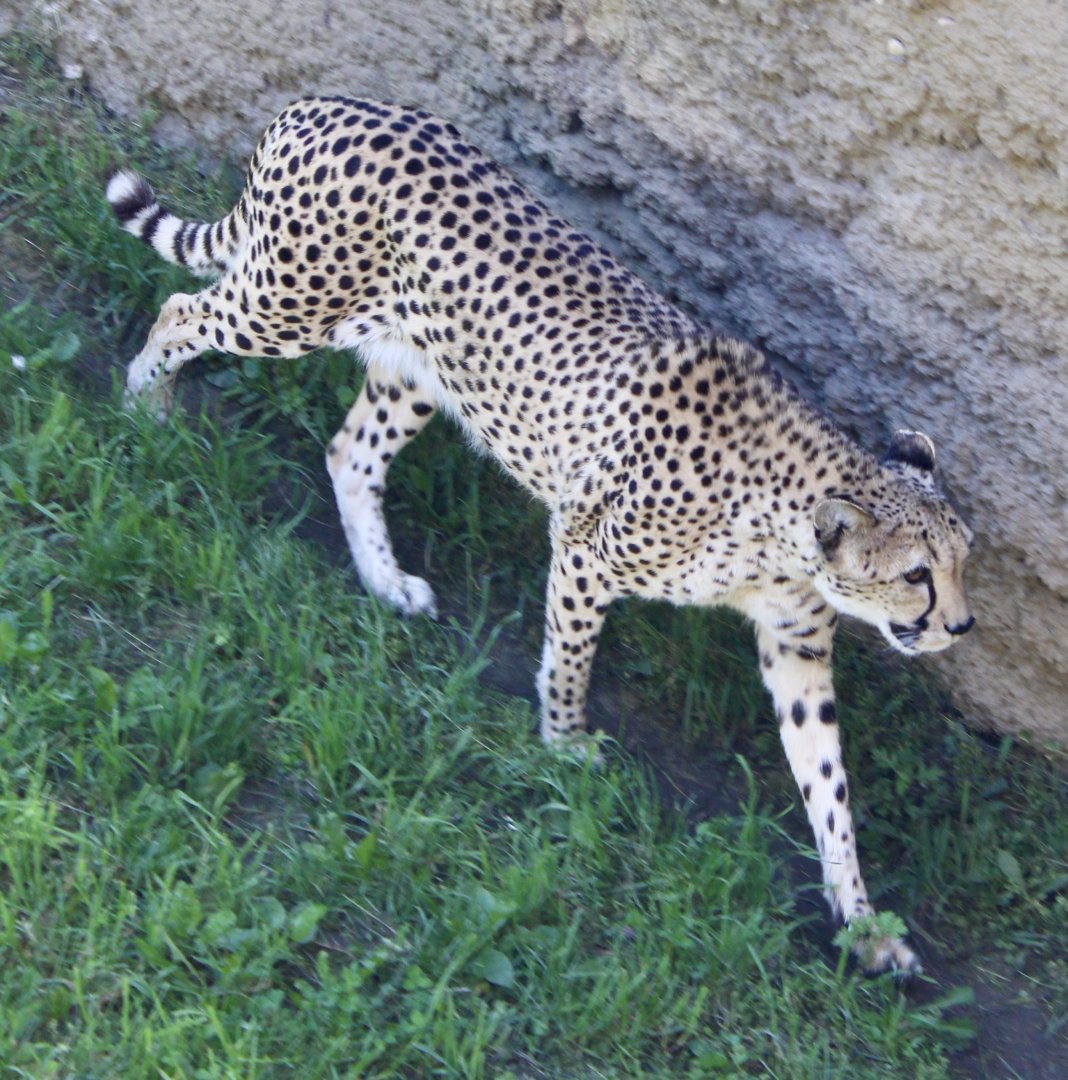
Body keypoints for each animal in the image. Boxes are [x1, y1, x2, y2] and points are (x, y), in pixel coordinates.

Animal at [106, 94, 974, 974]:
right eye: (916, 574)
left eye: (962, 561)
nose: (961, 624)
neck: (778, 527)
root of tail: (329, 104)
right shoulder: (586, 549)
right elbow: (571, 657)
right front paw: (563, 743)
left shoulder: (795, 645)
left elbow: (828, 787)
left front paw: (863, 924)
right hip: (284, 306)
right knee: (184, 311)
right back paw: (145, 403)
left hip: (419, 369)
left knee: (350, 453)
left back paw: (385, 581)